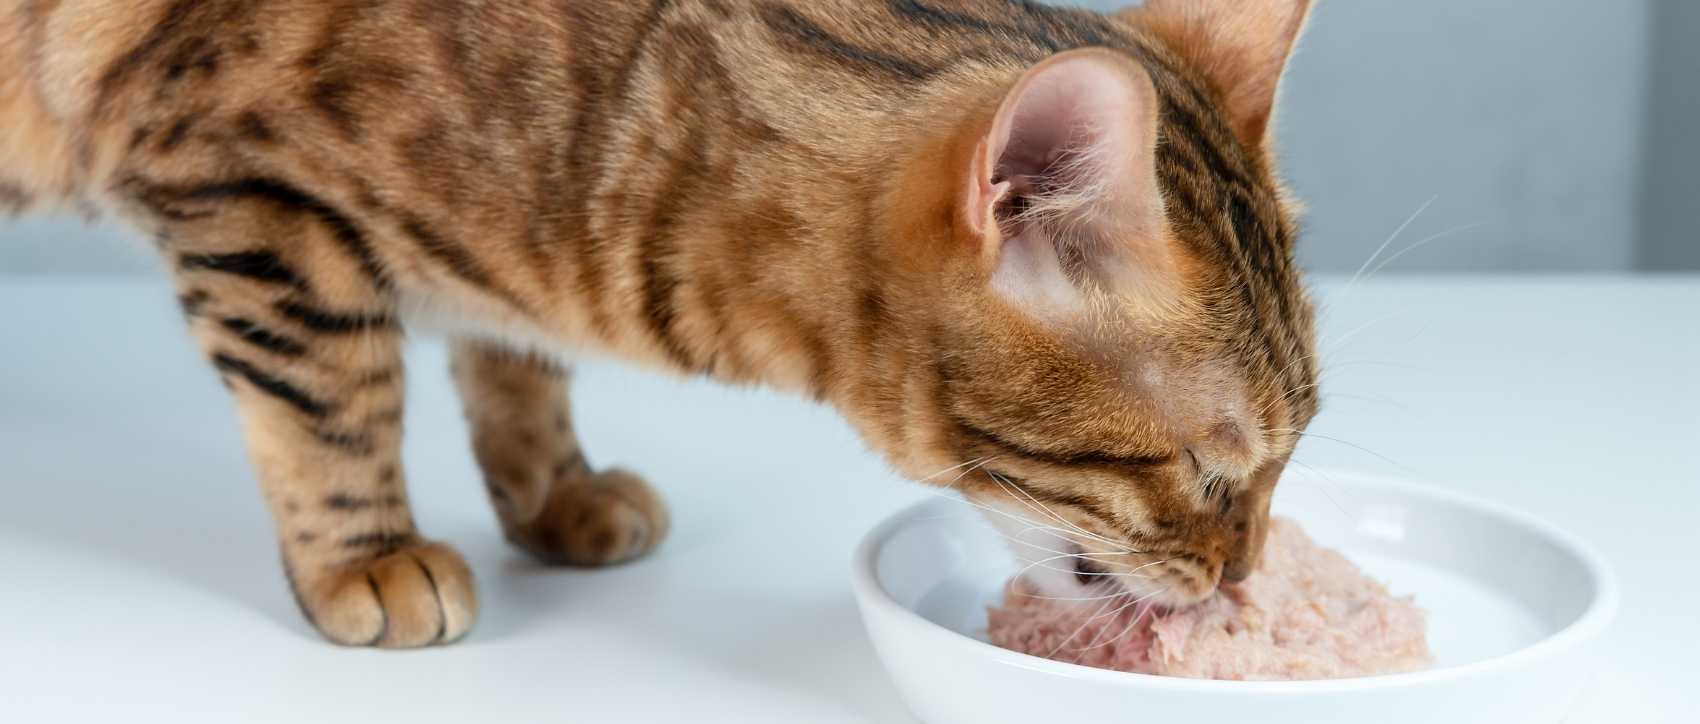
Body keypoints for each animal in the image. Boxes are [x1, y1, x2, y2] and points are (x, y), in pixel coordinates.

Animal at [0, 0, 1319, 649]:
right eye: (1206, 469)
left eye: (1292, 452)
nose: (1246, 573)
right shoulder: (244, 191)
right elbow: (332, 401)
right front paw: (365, 554)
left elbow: (514, 363)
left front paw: (552, 493)